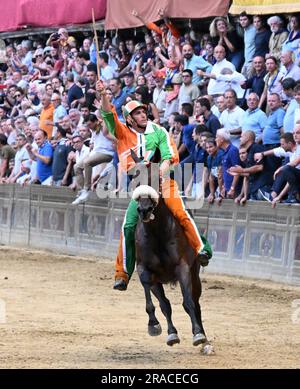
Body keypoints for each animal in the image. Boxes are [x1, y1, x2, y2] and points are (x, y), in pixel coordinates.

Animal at [132, 184, 207, 346]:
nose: (144, 210)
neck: (157, 233)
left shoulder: (182, 268)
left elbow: (189, 303)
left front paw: (198, 334)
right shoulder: (144, 270)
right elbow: (158, 303)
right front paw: (154, 325)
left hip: (195, 276)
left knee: (196, 304)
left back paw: (203, 338)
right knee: (165, 304)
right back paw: (172, 332)